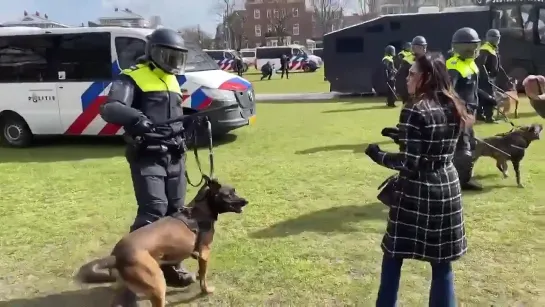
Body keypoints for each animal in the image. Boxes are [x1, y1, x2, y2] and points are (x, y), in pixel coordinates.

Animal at [75, 177, 249, 307]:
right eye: (229, 194)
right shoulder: (205, 252)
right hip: (157, 283)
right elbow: (204, 276)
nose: (245, 201)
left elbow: (201, 273)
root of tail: (116, 256)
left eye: (235, 191)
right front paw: (205, 290)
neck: (200, 210)